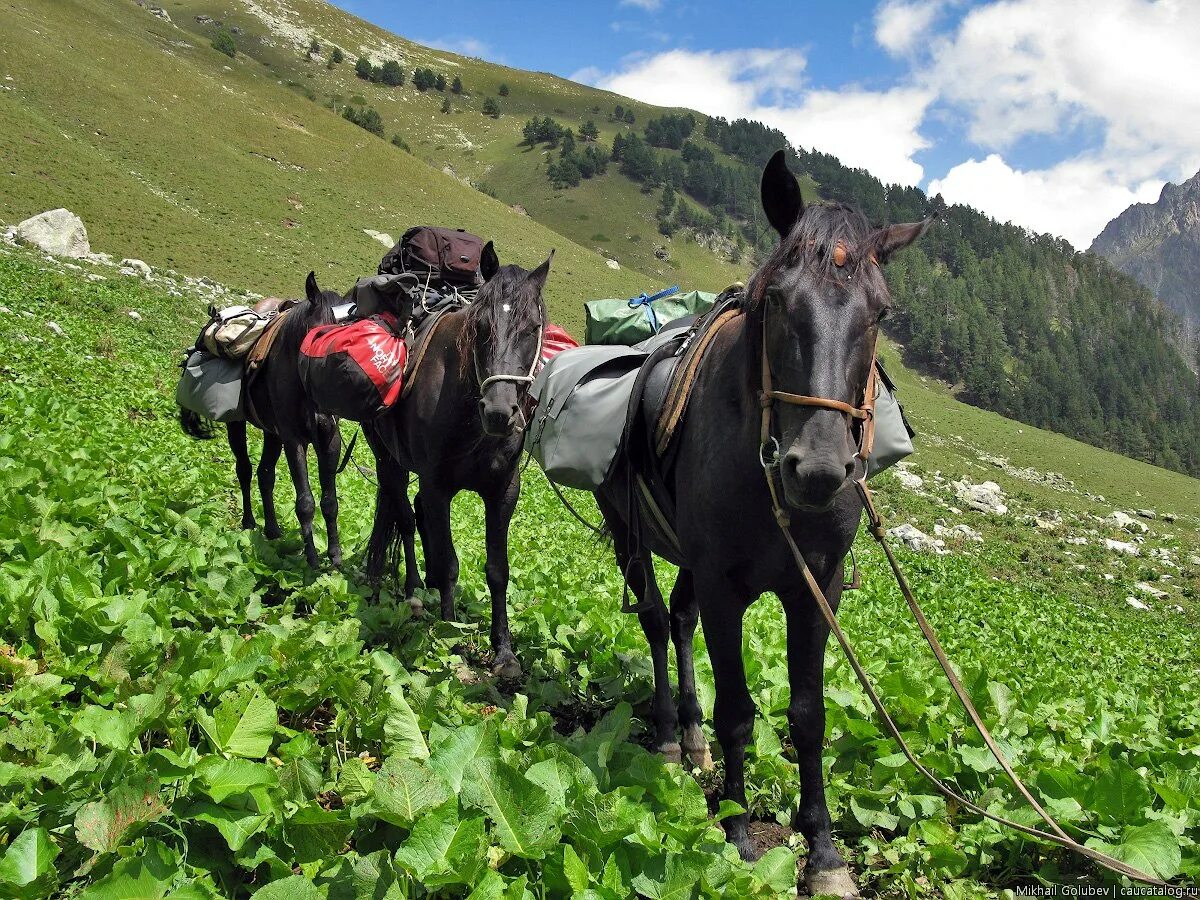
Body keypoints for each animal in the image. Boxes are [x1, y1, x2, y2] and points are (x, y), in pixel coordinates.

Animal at [180, 274, 345, 566]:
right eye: (320, 333)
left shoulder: (329, 440)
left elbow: (330, 502)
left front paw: (334, 555)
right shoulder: (294, 440)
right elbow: (305, 502)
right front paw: (312, 558)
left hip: (272, 434)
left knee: (265, 474)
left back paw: (272, 529)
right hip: (238, 425)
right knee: (245, 470)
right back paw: (249, 522)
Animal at [367, 247, 549, 676]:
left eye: (533, 328)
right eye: (480, 325)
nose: (499, 412)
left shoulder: (503, 492)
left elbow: (498, 570)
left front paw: (504, 651)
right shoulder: (438, 486)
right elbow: (450, 562)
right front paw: (449, 634)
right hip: (388, 460)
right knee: (404, 516)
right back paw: (415, 593)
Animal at [595, 151, 931, 897]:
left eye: (882, 312)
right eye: (776, 299)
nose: (819, 469)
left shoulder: (816, 591)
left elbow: (808, 717)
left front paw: (825, 854)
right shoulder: (727, 588)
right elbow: (739, 713)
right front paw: (740, 834)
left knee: (680, 620)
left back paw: (692, 741)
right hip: (633, 538)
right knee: (657, 622)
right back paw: (671, 738)